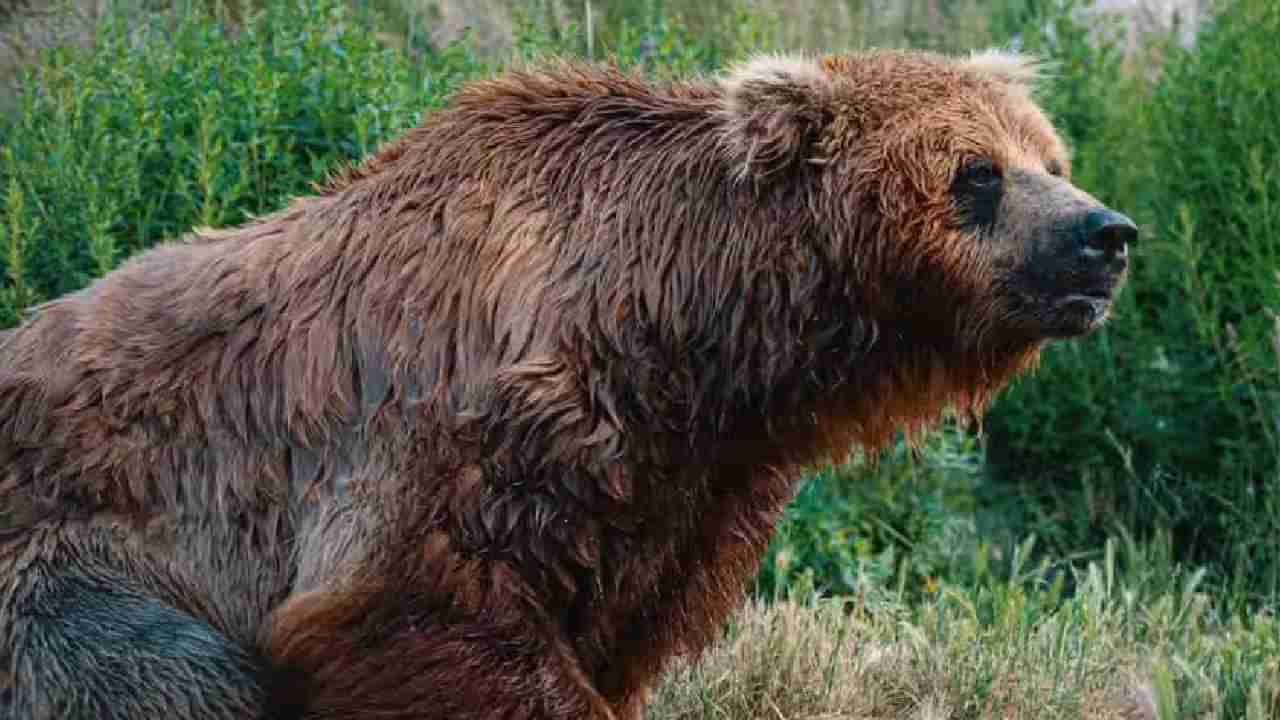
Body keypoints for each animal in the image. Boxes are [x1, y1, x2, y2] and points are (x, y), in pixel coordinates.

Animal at [5, 49, 1136, 717]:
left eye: (1049, 155)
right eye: (975, 173)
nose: (1104, 234)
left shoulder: (679, 494)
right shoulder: (454, 426)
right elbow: (417, 604)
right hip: (67, 566)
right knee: (165, 672)